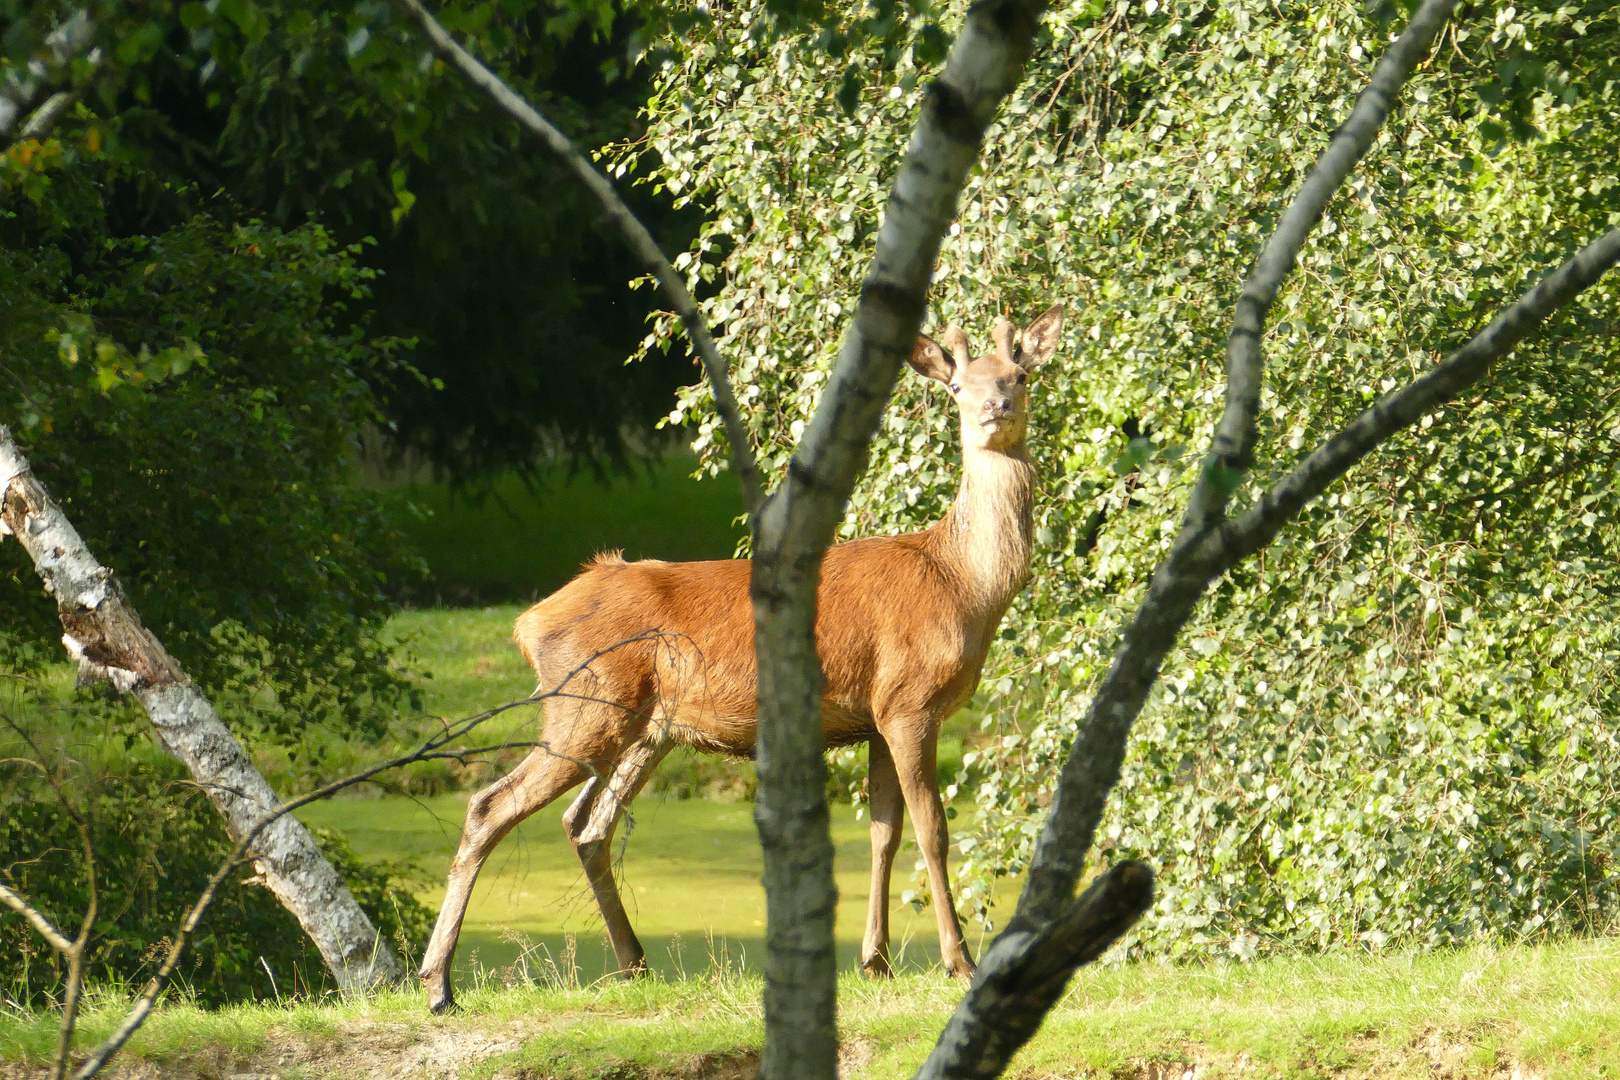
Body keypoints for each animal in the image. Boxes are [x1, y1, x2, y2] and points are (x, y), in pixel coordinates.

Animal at [421, 302, 1062, 1016]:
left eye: (1020, 374)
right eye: (956, 386)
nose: (995, 408)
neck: (964, 586)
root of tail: (527, 622)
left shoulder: (875, 716)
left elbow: (882, 830)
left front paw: (875, 960)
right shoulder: (910, 701)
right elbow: (933, 829)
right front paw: (958, 960)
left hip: (647, 729)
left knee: (586, 824)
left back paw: (634, 964)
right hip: (584, 707)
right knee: (490, 806)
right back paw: (438, 983)